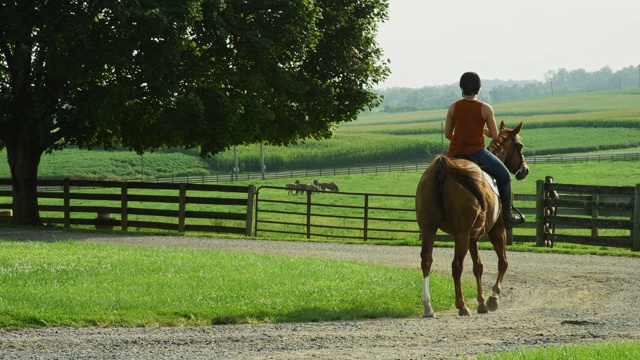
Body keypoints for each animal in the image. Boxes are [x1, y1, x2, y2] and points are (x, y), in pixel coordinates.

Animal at [416, 121, 528, 318]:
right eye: (520, 146)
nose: (525, 170)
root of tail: (442, 169)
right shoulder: (496, 231)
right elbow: (503, 262)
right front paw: (492, 298)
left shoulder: (473, 237)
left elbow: (478, 267)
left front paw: (482, 303)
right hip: (461, 233)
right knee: (456, 265)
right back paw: (462, 306)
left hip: (429, 228)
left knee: (426, 261)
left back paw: (428, 307)